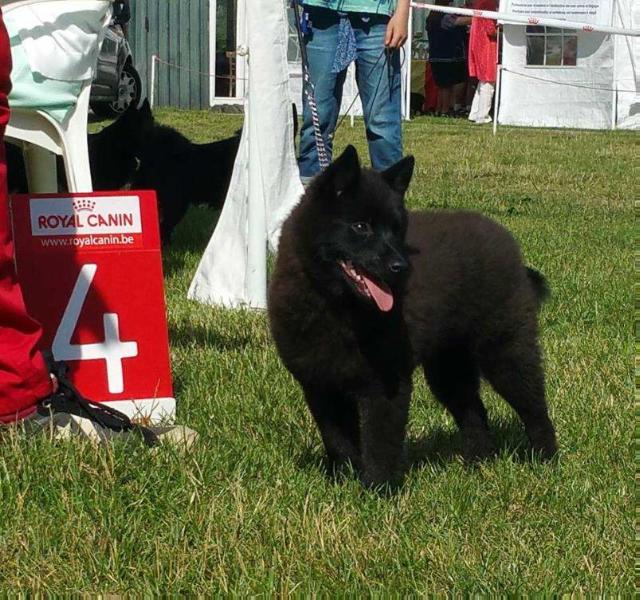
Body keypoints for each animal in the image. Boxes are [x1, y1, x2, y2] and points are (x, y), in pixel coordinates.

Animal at [268, 144, 556, 488]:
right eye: (361, 227)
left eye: (396, 229)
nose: (400, 267)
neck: (336, 305)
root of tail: (507, 241)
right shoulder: (319, 383)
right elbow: (337, 440)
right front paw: (343, 482)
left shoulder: (386, 380)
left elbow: (380, 441)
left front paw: (378, 489)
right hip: (449, 364)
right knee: (474, 412)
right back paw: (478, 463)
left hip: (505, 347)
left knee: (534, 406)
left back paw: (546, 460)